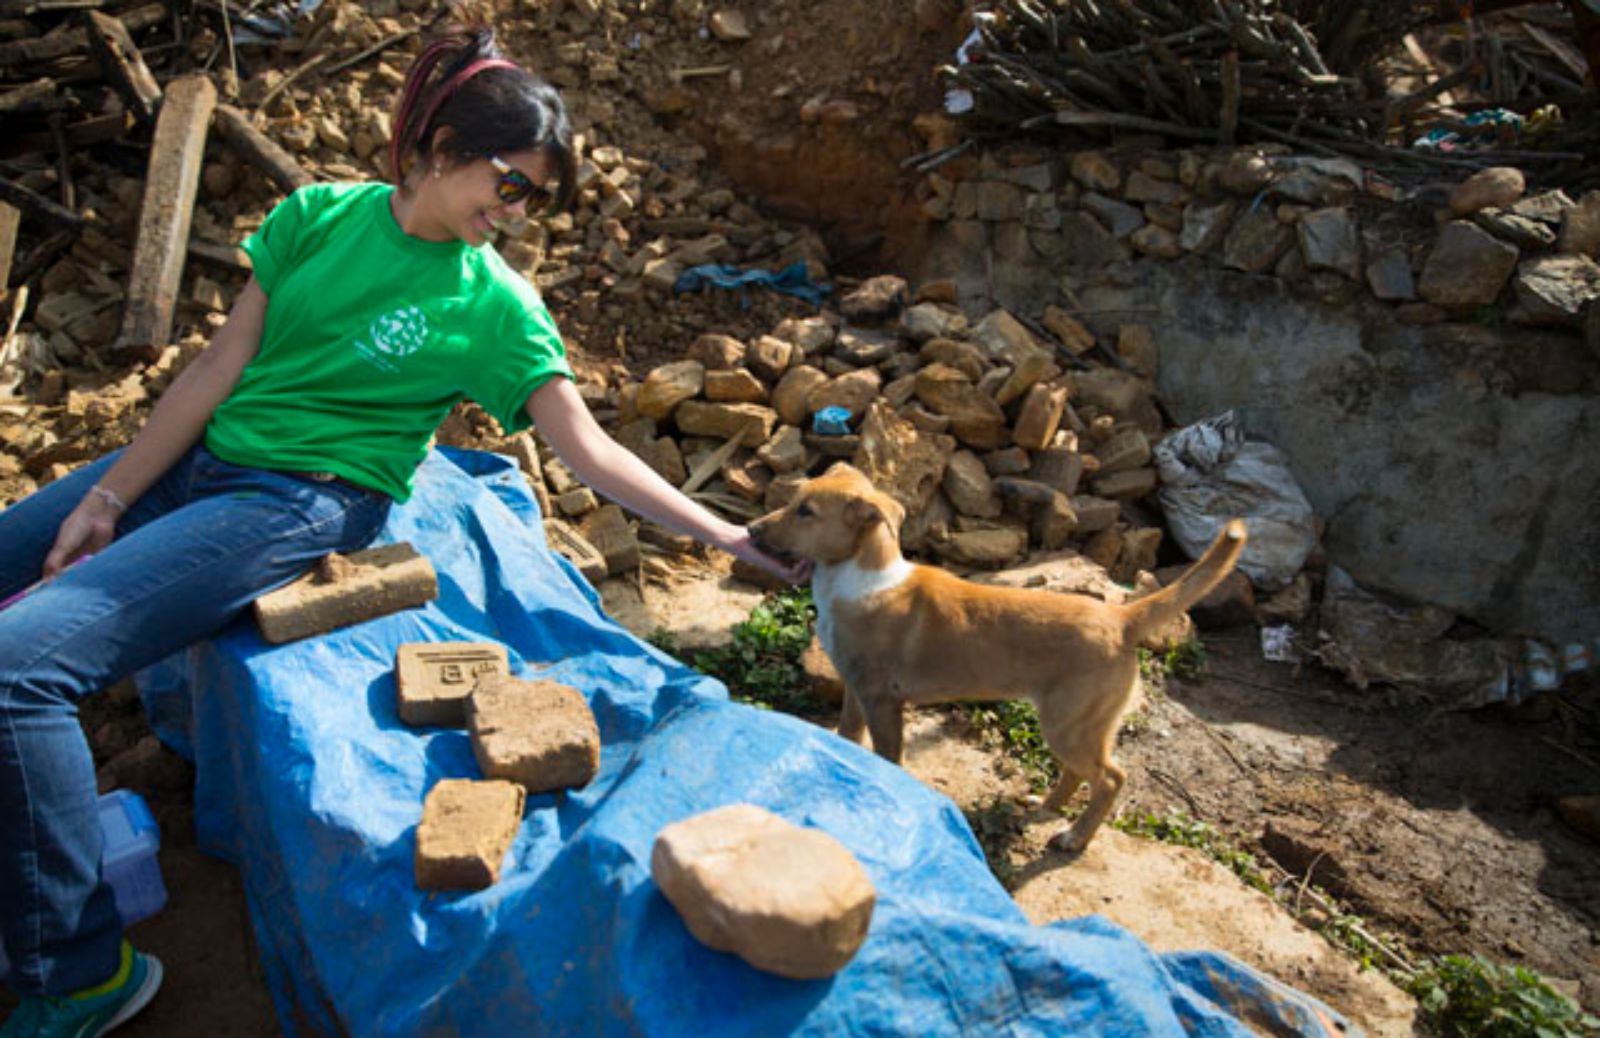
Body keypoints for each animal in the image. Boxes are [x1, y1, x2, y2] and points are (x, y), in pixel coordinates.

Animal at [748, 467, 1248, 857]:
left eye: (806, 511)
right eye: (793, 502)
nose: (750, 530)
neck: (860, 576)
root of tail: (1121, 617)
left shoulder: (882, 700)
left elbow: (888, 755)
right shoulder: (856, 690)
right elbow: (848, 737)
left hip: (1070, 724)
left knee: (1110, 778)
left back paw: (1074, 838)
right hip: (1077, 725)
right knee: (1079, 773)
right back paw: (1047, 808)